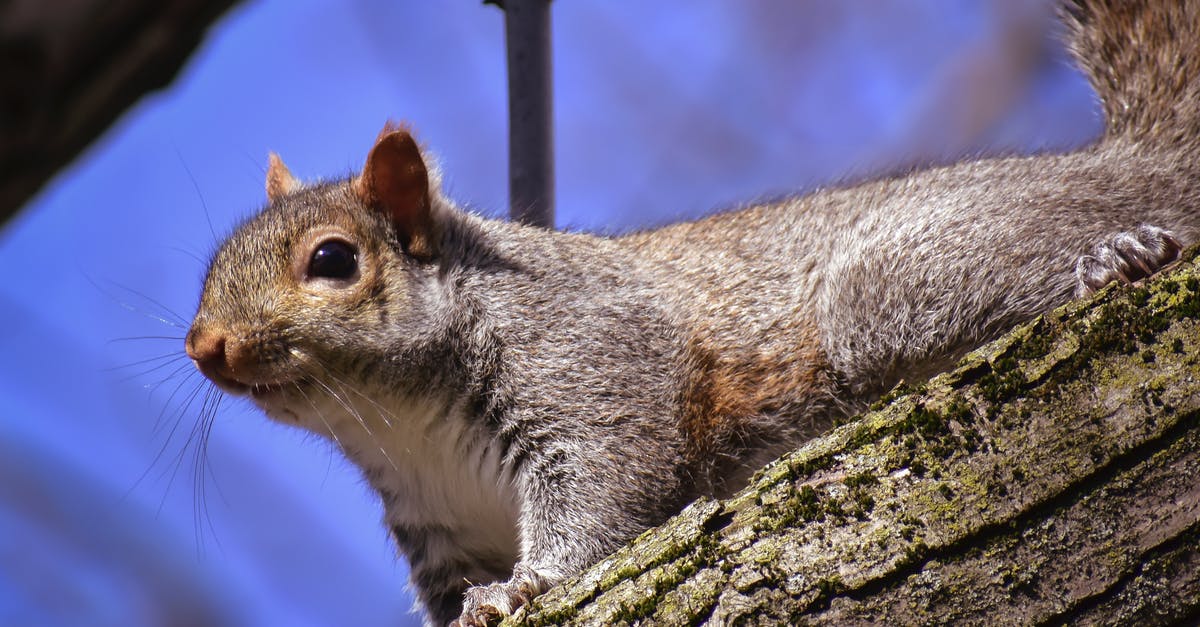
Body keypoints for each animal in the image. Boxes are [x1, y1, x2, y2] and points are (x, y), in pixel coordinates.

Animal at [182, 2, 1195, 619]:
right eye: (214, 263)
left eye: (332, 260)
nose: (205, 345)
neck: (400, 421)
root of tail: (1136, 163)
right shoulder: (438, 529)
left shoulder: (592, 370)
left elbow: (603, 493)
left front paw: (525, 587)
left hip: (894, 294)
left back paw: (1120, 258)